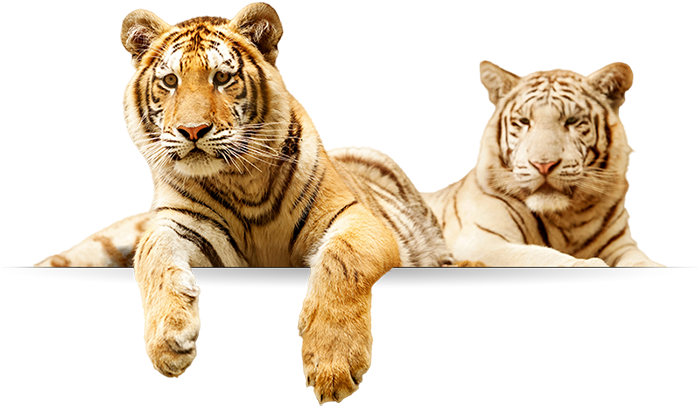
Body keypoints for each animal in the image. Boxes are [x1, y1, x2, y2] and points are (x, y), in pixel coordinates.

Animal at [33, 2, 464, 403]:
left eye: (222, 78)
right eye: (170, 81)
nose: (192, 130)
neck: (240, 179)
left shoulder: (353, 217)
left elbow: (342, 261)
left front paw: (333, 362)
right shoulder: (180, 226)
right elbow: (152, 255)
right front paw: (168, 340)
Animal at [422, 60, 666, 267]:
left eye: (572, 121)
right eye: (524, 121)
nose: (544, 165)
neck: (568, 218)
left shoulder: (623, 245)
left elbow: (643, 262)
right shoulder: (483, 241)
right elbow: (545, 257)